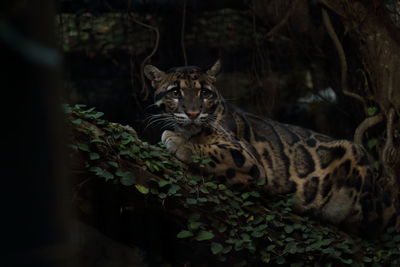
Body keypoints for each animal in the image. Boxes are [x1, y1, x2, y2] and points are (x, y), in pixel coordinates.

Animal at [145, 60, 400, 237]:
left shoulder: (247, 158)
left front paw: (176, 140)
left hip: (357, 156)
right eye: (175, 92)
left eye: (205, 93)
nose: (193, 113)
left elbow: (208, 151)